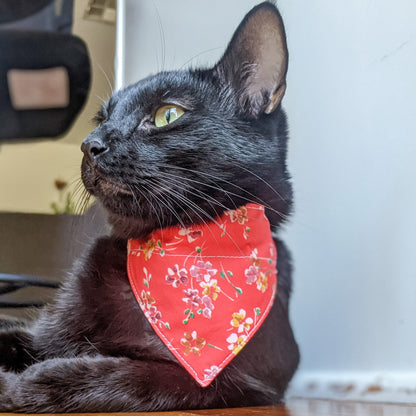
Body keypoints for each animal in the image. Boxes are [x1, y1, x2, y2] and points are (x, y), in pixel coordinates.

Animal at [0, 2, 300, 412]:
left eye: (167, 114)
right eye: (102, 119)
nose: (89, 144)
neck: (173, 249)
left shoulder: (226, 382)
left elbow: (123, 375)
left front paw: (25, 384)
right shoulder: (42, 334)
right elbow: (15, 334)